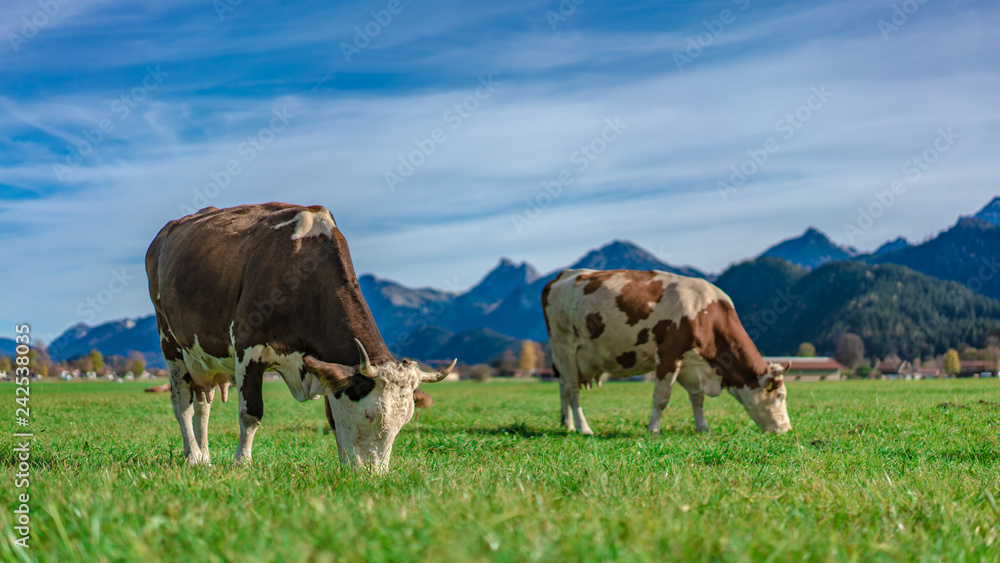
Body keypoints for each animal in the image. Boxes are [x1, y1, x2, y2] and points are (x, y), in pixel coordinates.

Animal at [146, 203, 458, 472]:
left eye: (404, 421)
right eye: (370, 414)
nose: (373, 474)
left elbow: (332, 419)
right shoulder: (248, 346)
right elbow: (251, 413)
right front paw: (242, 463)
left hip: (203, 360)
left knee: (202, 406)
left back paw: (205, 458)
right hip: (171, 343)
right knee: (183, 404)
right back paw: (193, 456)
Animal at [544, 268, 792, 436]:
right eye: (780, 396)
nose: (787, 429)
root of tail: (564, 275)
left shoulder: (693, 365)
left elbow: (697, 399)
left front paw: (703, 428)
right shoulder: (669, 355)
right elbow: (662, 397)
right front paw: (653, 429)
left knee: (563, 387)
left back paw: (566, 423)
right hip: (564, 346)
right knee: (572, 389)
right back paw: (583, 427)